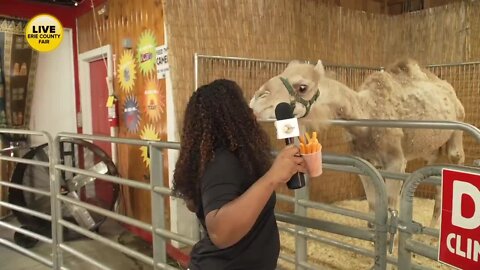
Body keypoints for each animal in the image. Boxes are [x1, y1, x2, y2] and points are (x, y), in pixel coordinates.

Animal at [251, 58, 464, 228]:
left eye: (302, 87)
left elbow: (390, 207)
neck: (367, 116)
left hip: (457, 130)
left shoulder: (396, 160)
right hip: (432, 150)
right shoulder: (363, 161)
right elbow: (373, 208)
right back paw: (433, 226)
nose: (256, 100)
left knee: (455, 159)